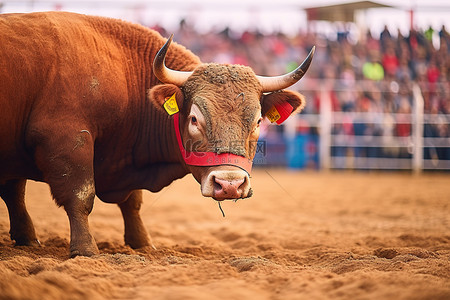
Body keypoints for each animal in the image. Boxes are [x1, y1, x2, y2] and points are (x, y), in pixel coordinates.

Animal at [0, 11, 312, 255]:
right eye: (195, 119)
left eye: (258, 121)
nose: (230, 185)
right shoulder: (66, 140)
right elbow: (79, 196)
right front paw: (85, 249)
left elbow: (132, 203)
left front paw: (141, 243)